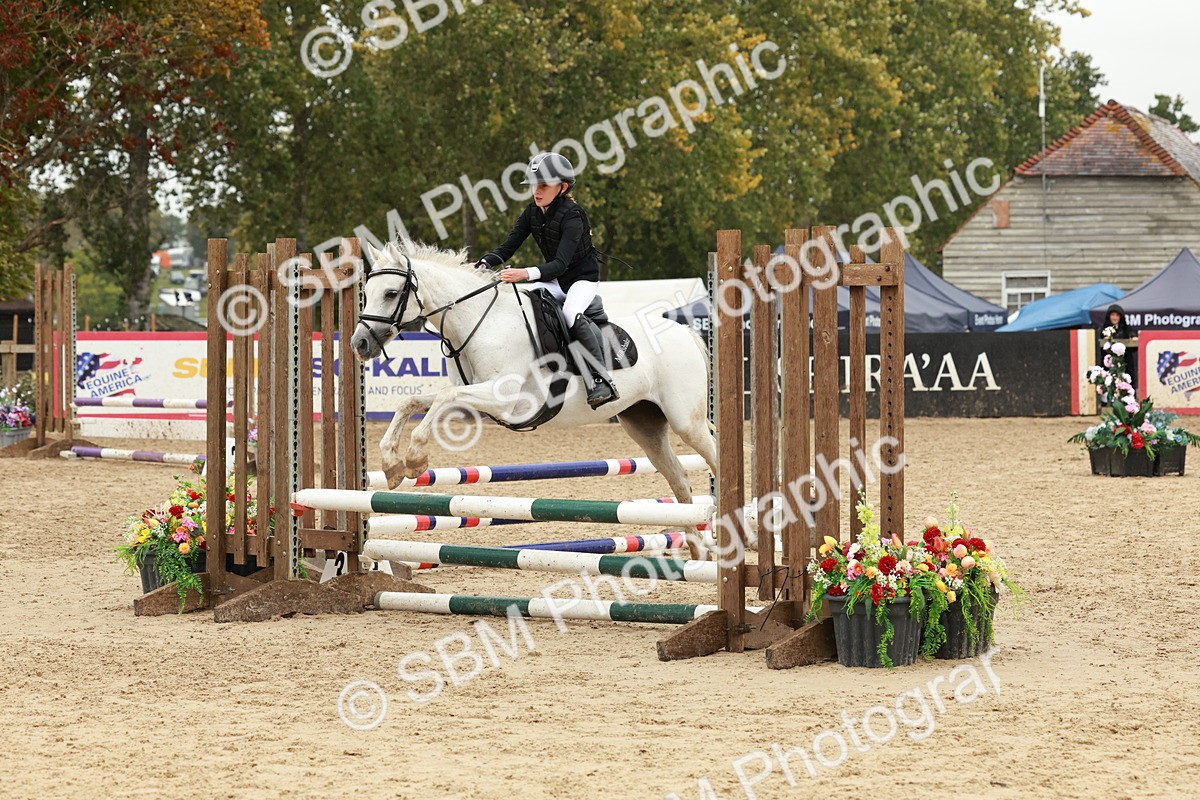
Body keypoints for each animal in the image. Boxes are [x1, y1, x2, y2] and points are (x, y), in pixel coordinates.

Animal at [348, 241, 718, 558]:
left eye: (391, 293)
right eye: (366, 293)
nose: (359, 344)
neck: (480, 323)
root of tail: (684, 330)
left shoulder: (502, 398)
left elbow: (441, 398)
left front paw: (414, 458)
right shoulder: (473, 402)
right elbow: (414, 402)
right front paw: (392, 464)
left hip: (686, 422)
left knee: (714, 458)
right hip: (644, 425)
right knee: (679, 478)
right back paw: (697, 548)